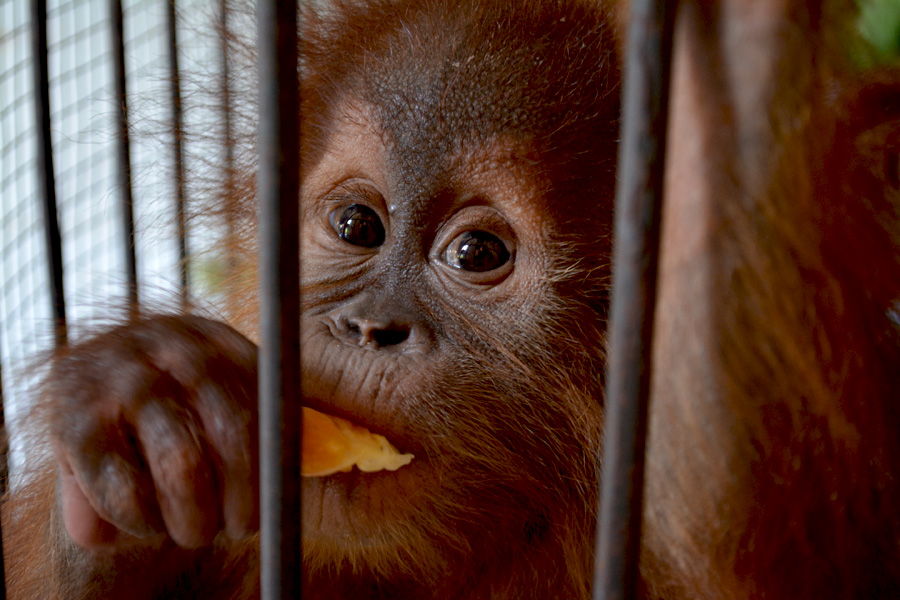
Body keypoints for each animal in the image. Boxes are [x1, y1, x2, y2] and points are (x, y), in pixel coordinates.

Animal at [3, 0, 900, 599]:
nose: (370, 328)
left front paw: (736, 94)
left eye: (478, 254)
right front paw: (148, 406)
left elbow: (742, 534)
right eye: (357, 225)